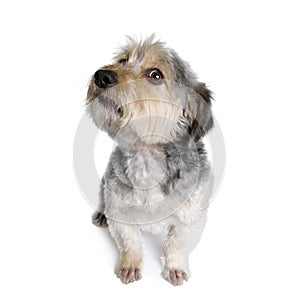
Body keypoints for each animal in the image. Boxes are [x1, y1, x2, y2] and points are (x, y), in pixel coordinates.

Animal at [85, 35, 214, 286]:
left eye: (155, 74)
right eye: (123, 60)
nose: (102, 76)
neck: (146, 157)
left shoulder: (191, 216)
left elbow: (177, 245)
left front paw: (175, 267)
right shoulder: (120, 211)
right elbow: (130, 242)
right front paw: (129, 264)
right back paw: (102, 214)